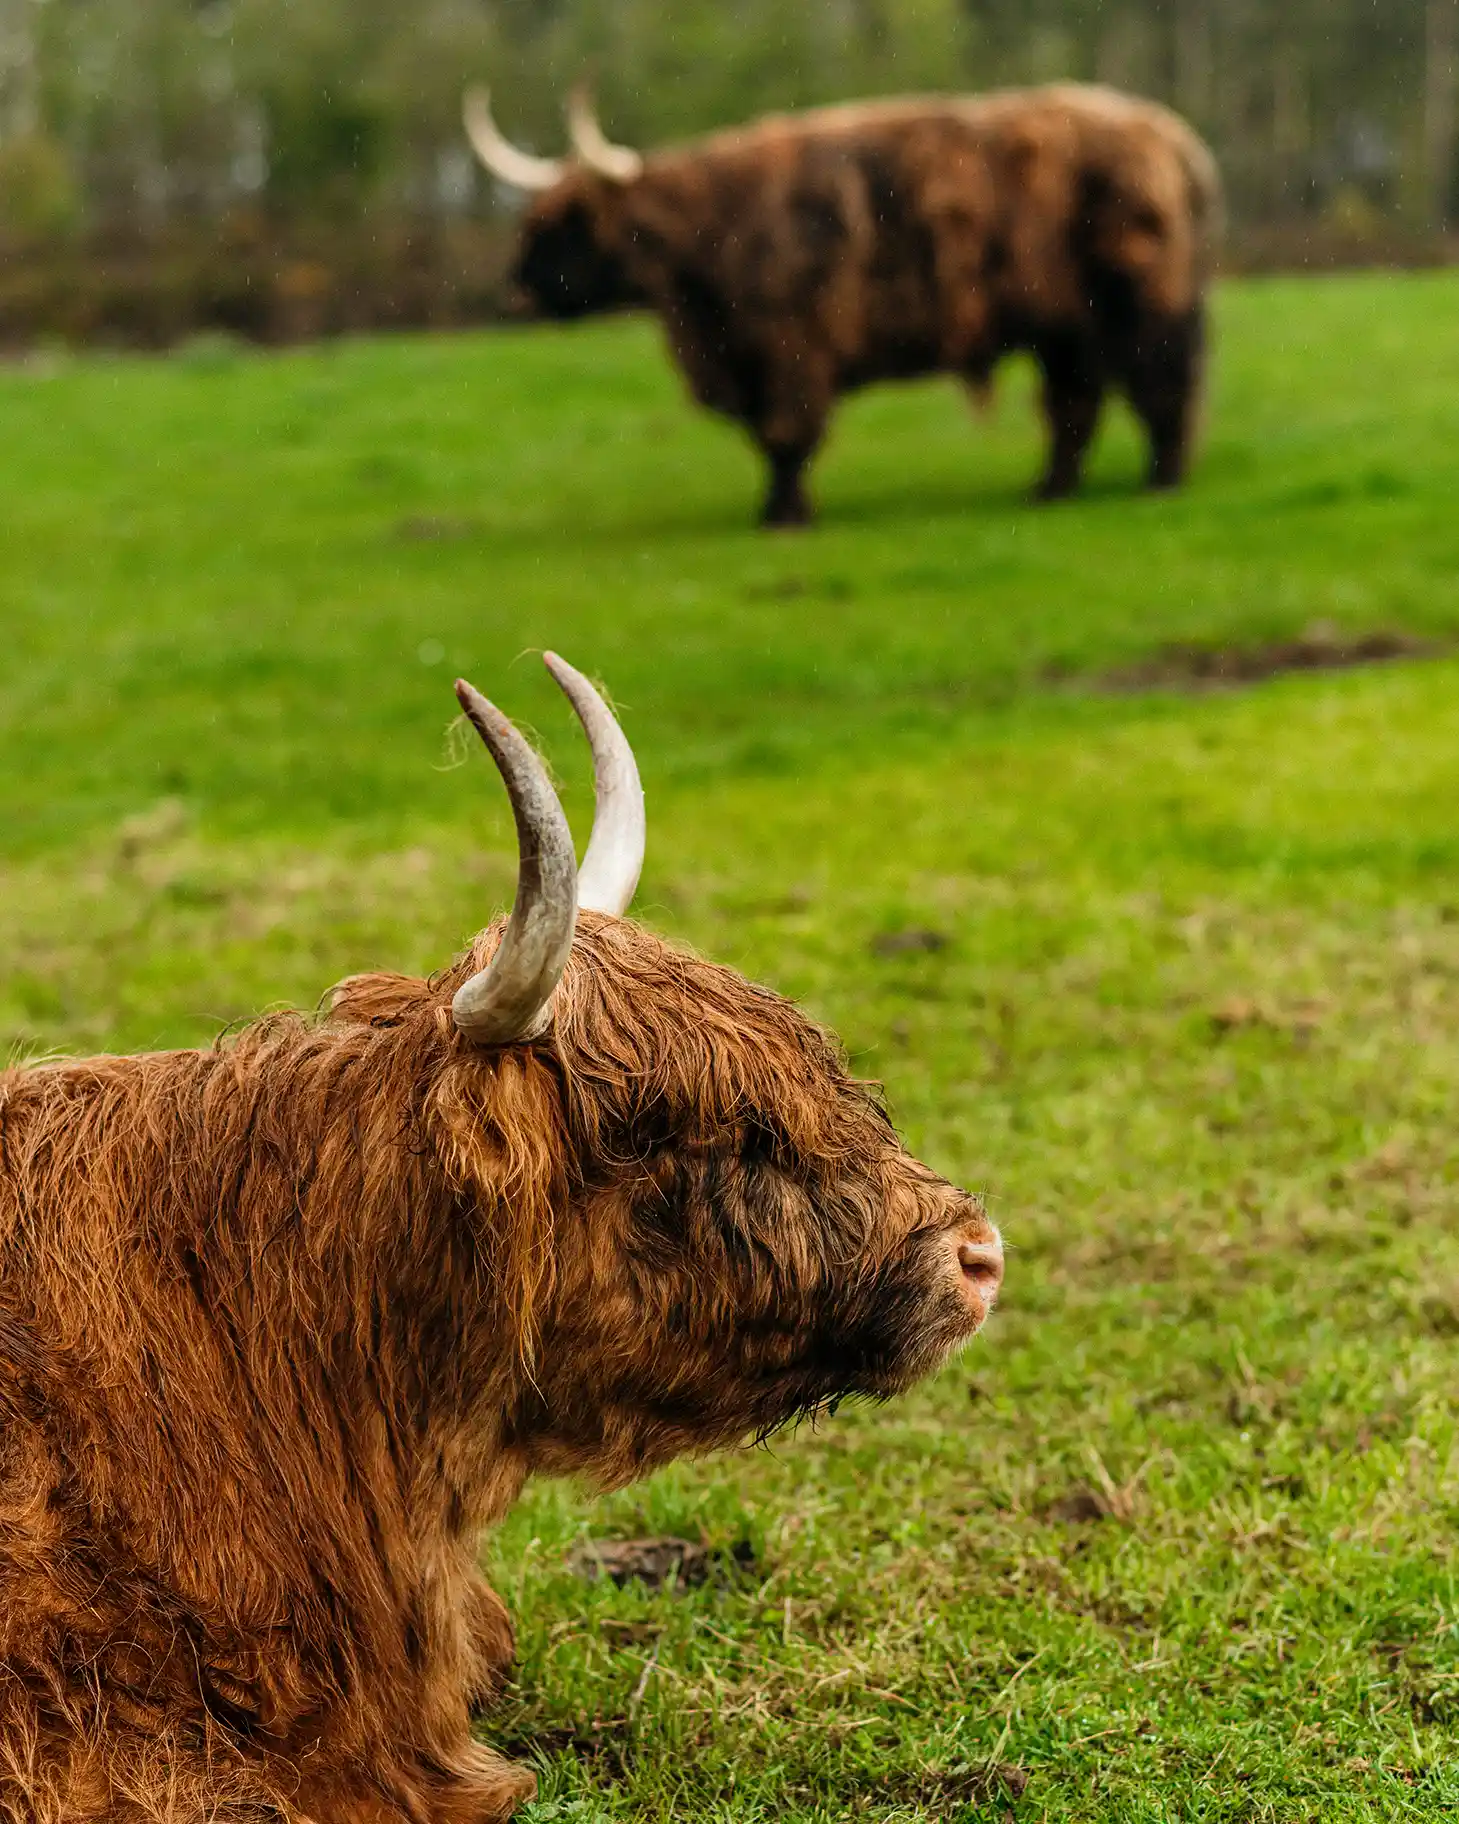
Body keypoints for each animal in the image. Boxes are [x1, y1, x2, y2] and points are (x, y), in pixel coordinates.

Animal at [466, 86, 1218, 528]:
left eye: (564, 226)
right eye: (531, 222)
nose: (514, 291)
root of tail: (1168, 135)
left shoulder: (790, 347)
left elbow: (785, 435)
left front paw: (783, 516)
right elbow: (769, 438)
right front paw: (776, 507)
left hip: (1142, 306)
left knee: (1163, 386)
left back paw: (1161, 481)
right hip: (1065, 328)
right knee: (1074, 406)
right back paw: (1049, 489)